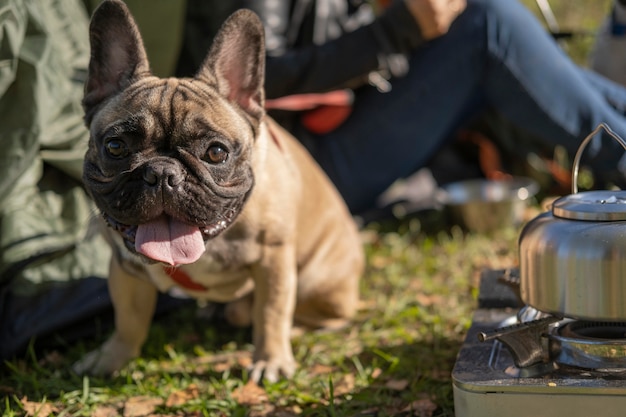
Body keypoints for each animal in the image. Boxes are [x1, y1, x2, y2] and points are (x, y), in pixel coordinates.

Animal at [73, 0, 364, 382]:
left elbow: (272, 312)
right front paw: (112, 359)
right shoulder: (127, 269)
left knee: (313, 316)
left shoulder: (274, 260)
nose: (162, 173)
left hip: (318, 281)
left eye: (216, 152)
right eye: (116, 146)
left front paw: (271, 360)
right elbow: (128, 319)